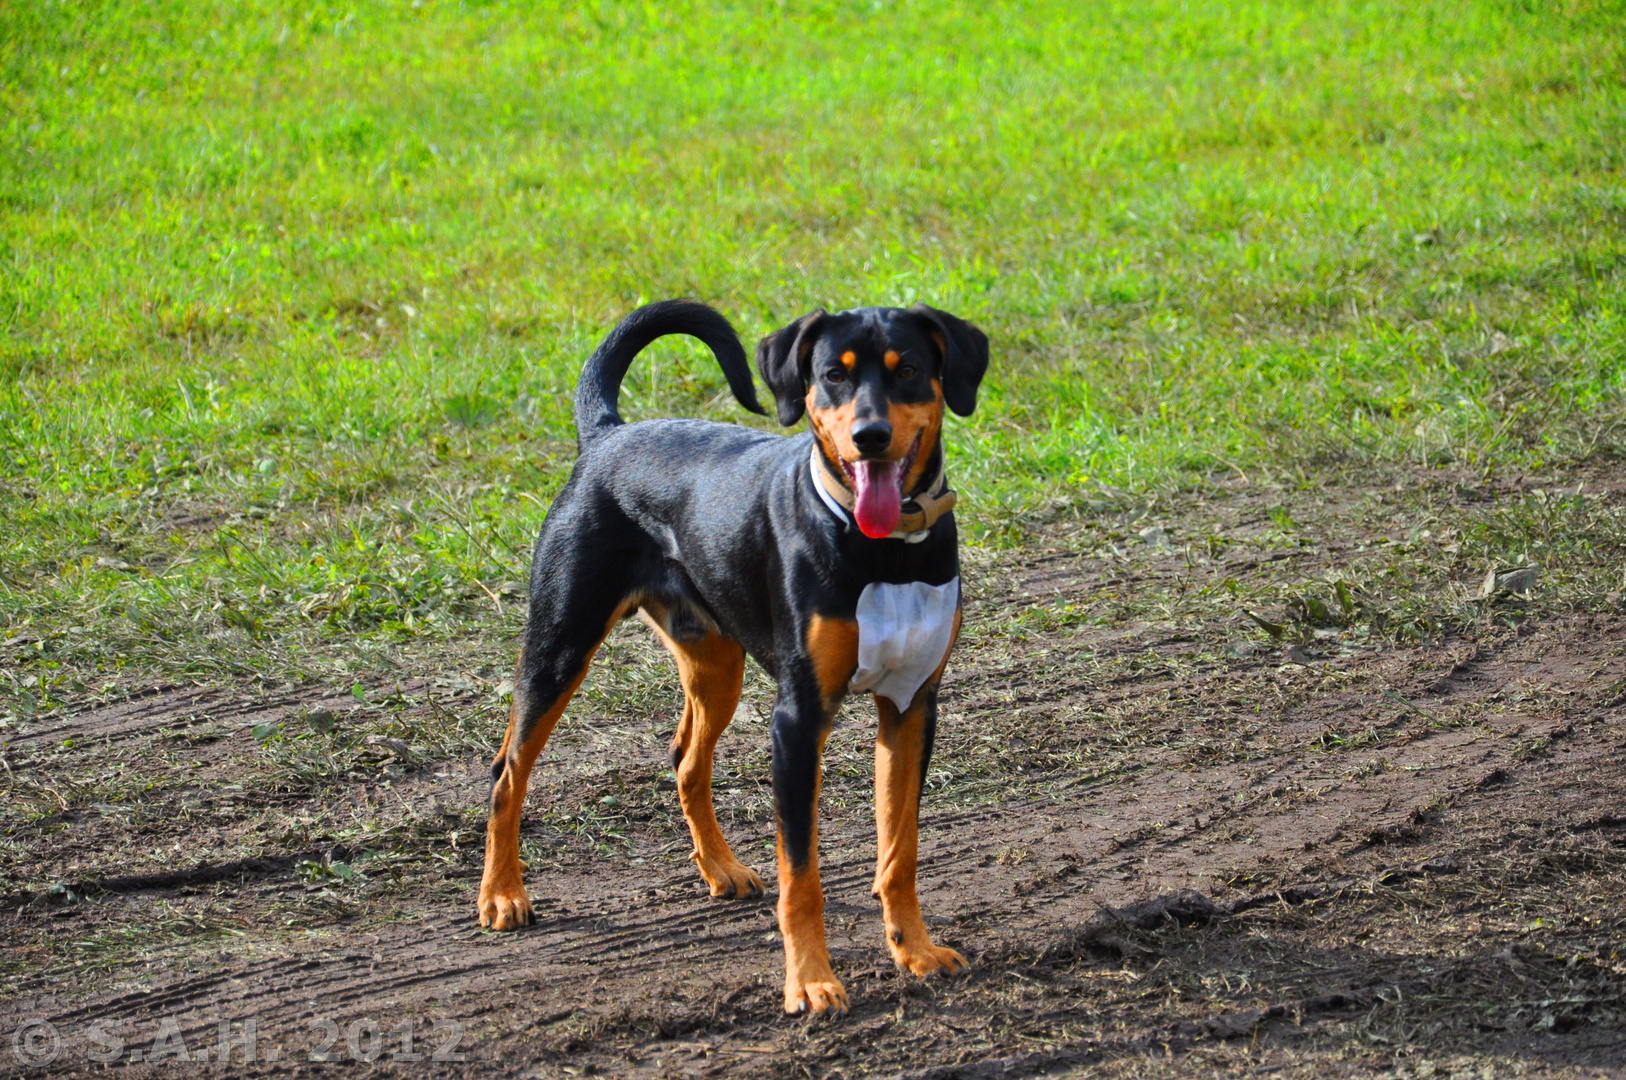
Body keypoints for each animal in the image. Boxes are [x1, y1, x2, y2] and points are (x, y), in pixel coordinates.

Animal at [478, 297, 988, 1014]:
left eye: (908, 369)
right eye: (833, 374)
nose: (870, 435)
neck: (884, 553)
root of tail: (607, 436)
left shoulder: (912, 705)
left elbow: (900, 852)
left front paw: (913, 950)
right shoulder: (798, 720)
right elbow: (802, 874)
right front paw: (811, 981)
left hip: (716, 663)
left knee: (686, 759)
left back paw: (720, 868)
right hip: (560, 645)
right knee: (508, 771)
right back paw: (502, 895)